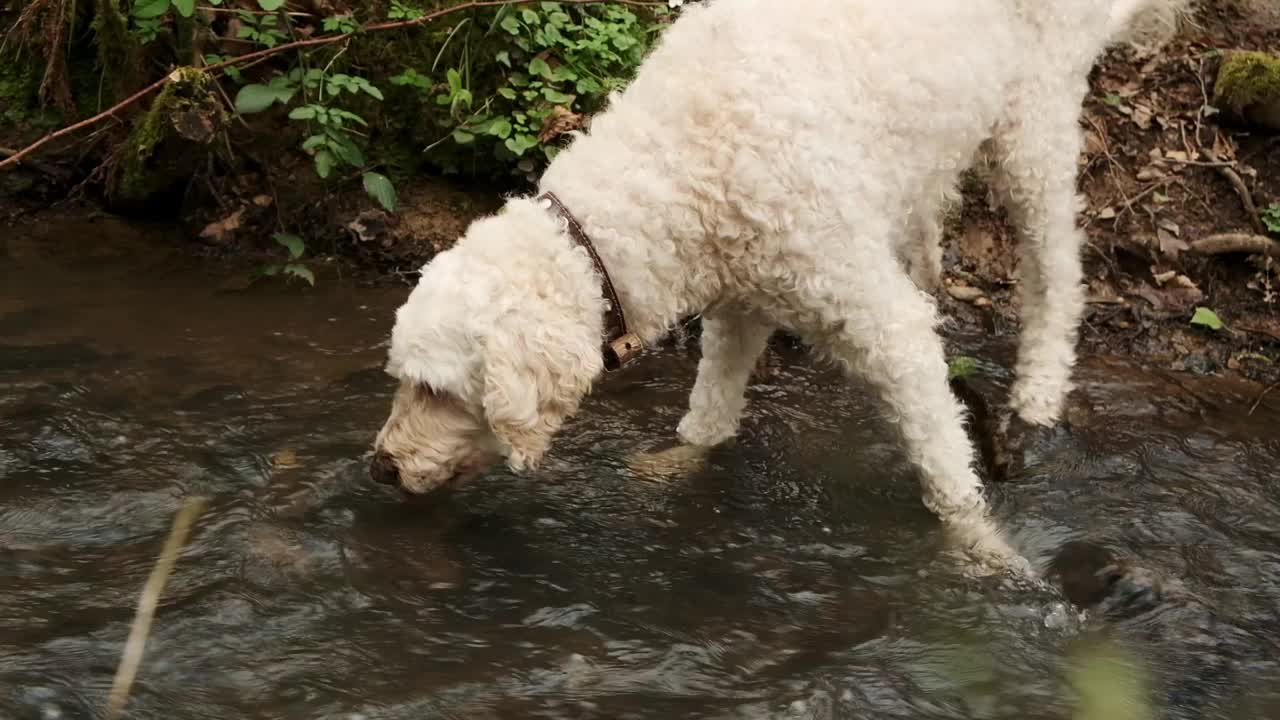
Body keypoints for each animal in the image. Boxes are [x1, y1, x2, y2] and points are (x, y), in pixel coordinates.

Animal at [371, 1, 1187, 566]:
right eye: (402, 380)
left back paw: (1040, 391)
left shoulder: (884, 328)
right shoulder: (741, 300)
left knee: (1059, 275)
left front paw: (982, 554)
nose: (378, 467)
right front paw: (671, 469)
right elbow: (709, 419)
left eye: (437, 390)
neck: (677, 163)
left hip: (1032, 129)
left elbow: (946, 473)